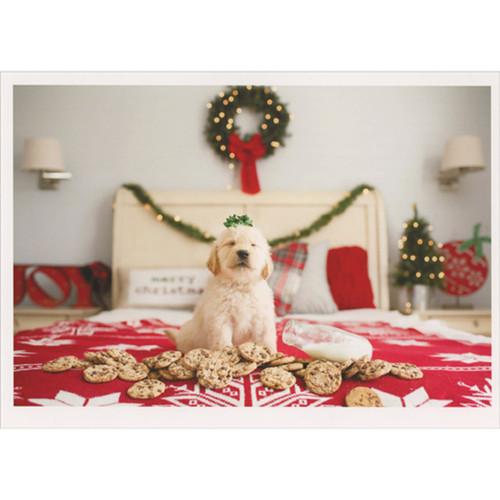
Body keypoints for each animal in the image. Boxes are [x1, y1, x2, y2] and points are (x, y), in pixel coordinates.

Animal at [173, 223, 278, 352]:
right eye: (231, 243)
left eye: (253, 245)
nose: (243, 253)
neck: (240, 285)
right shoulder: (220, 318)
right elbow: (222, 340)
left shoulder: (262, 318)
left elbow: (266, 339)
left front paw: (272, 354)